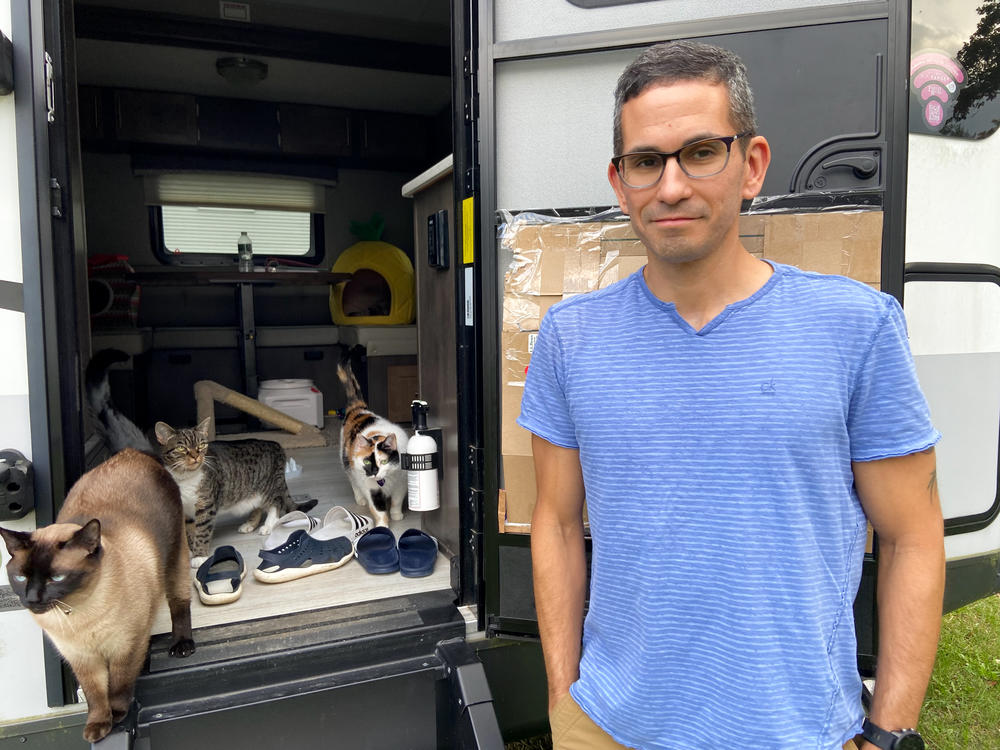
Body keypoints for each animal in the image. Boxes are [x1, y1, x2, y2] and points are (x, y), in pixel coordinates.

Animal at [0, 450, 195, 744]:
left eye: (57, 578)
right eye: (21, 578)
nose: (32, 599)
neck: (77, 613)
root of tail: (133, 453)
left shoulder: (126, 646)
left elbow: (119, 685)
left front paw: (118, 715)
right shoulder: (81, 658)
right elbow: (95, 695)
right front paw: (98, 727)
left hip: (176, 559)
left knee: (179, 603)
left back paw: (182, 645)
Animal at [154, 420, 316, 568]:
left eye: (201, 445)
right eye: (181, 448)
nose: (195, 456)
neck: (185, 478)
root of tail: (276, 445)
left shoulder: (206, 506)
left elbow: (202, 532)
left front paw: (199, 556)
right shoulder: (186, 511)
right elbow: (189, 532)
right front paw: (191, 550)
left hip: (268, 487)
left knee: (276, 503)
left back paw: (268, 525)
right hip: (254, 491)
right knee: (258, 506)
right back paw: (249, 525)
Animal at [338, 362, 408, 528]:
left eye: (384, 461)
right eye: (367, 461)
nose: (375, 472)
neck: (385, 481)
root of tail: (358, 409)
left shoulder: (401, 483)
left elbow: (396, 501)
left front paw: (396, 515)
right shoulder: (371, 489)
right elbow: (379, 510)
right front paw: (382, 527)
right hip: (347, 465)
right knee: (353, 482)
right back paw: (360, 499)